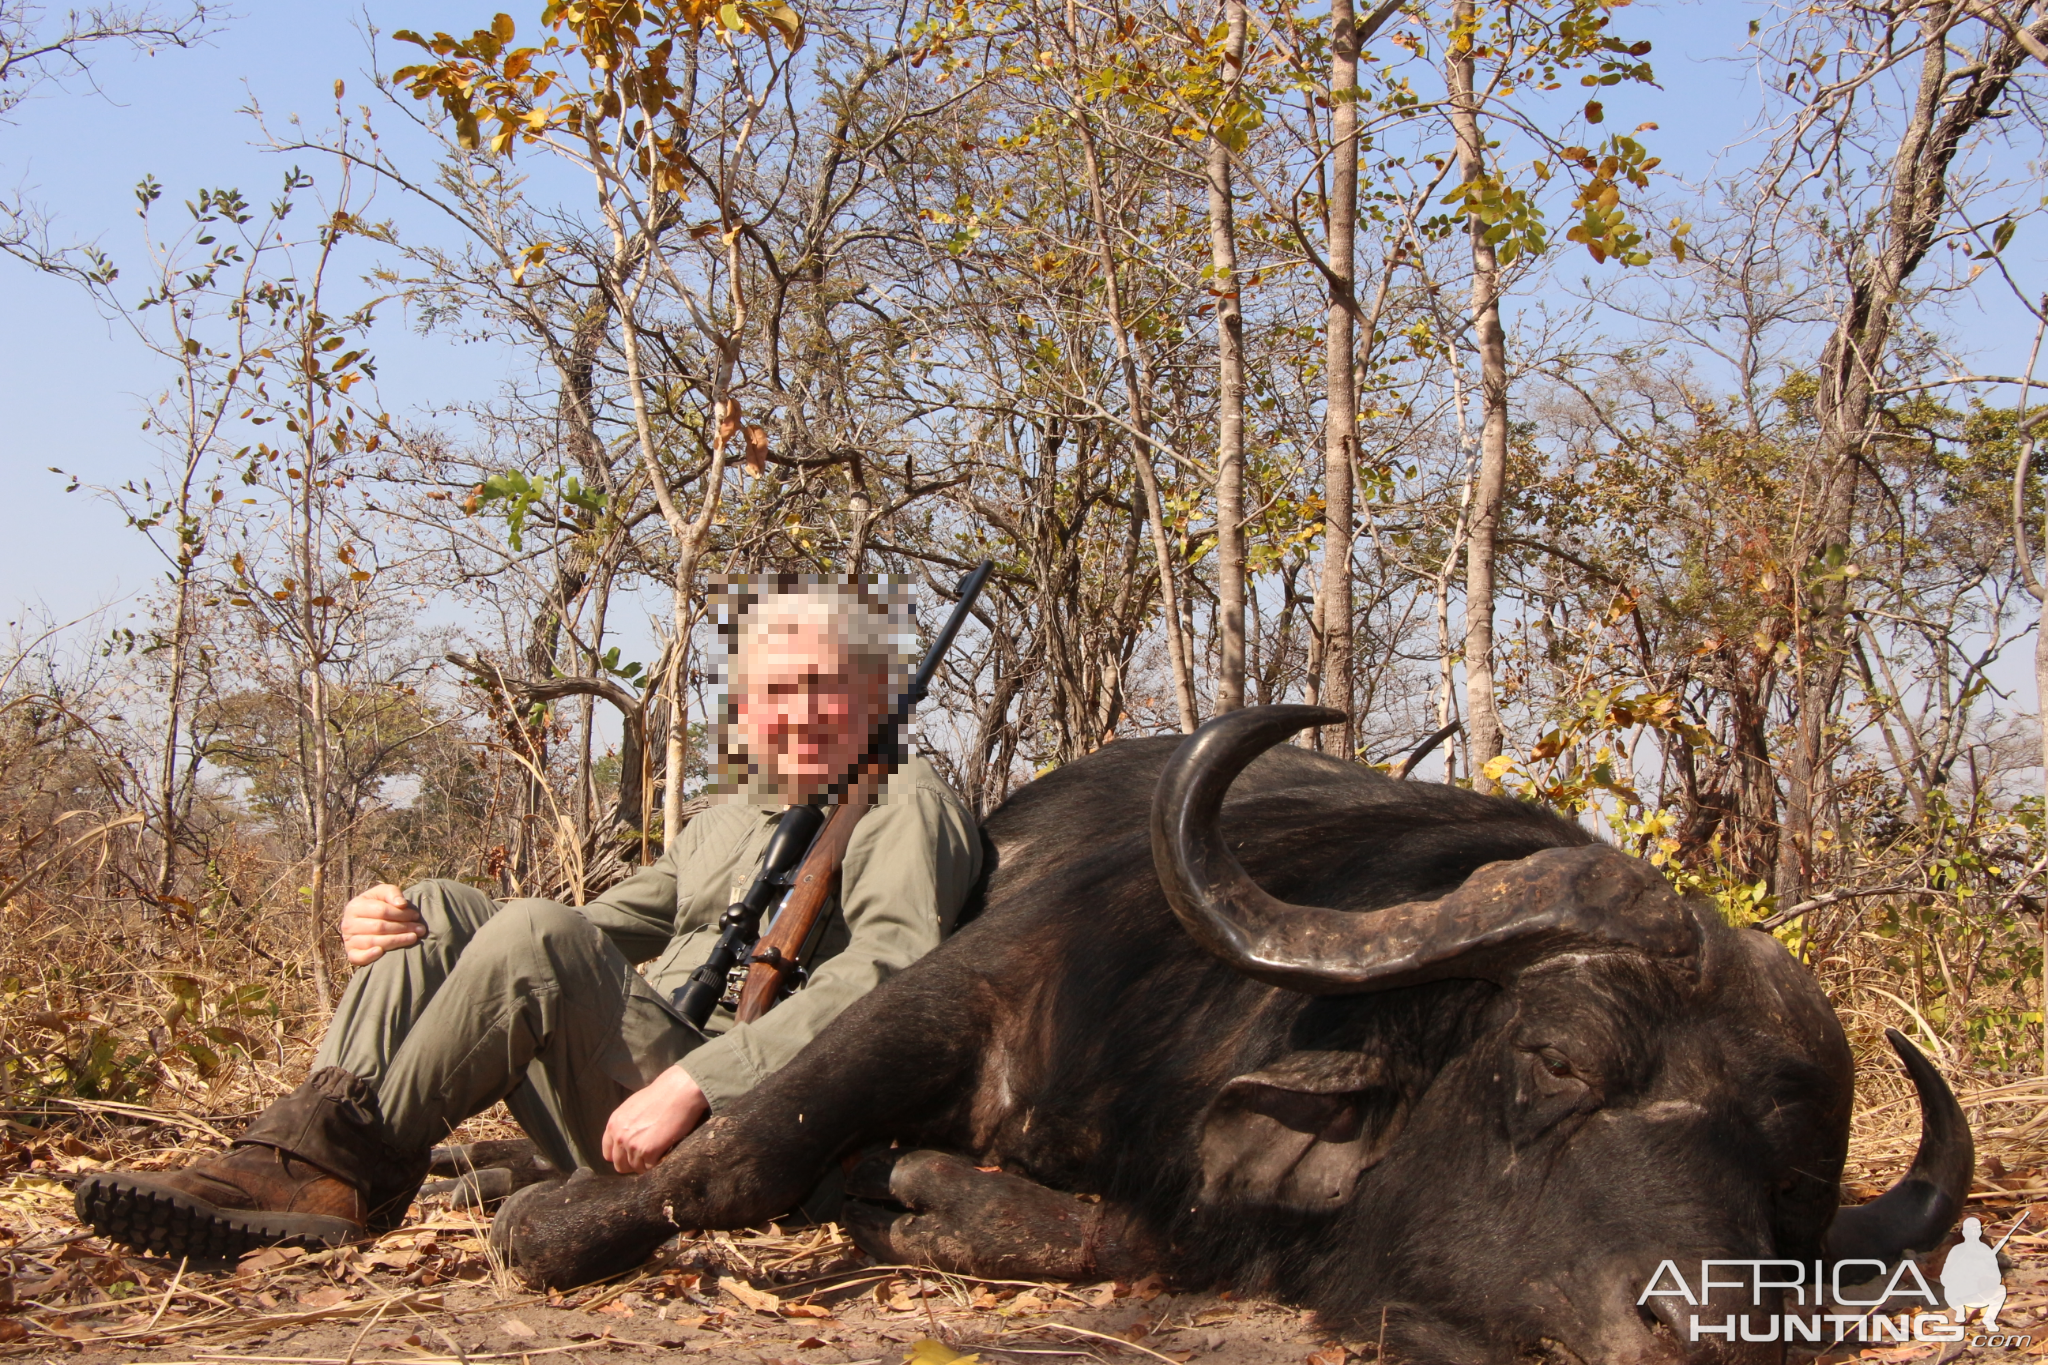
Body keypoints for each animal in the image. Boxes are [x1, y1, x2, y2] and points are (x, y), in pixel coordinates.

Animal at [491, 712, 1966, 1358]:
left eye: (1791, 1184)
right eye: (1556, 1061)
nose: (1714, 1330)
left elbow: (1116, 1232)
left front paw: (920, 1197)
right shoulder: (962, 990)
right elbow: (744, 1149)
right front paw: (553, 1227)